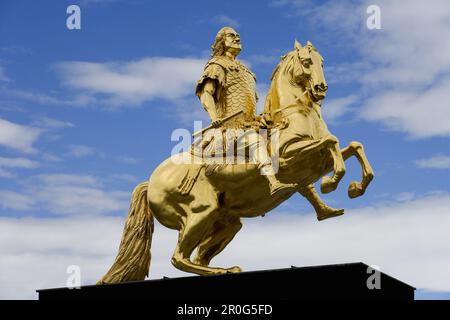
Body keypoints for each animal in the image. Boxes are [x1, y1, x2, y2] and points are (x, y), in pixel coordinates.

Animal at [99, 39, 376, 282]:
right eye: (307, 62)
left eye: (322, 62)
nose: (321, 88)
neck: (291, 116)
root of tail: (151, 182)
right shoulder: (290, 158)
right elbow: (332, 142)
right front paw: (332, 182)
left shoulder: (315, 163)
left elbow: (353, 146)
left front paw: (355, 188)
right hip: (200, 213)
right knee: (179, 257)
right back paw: (223, 270)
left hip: (227, 223)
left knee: (197, 257)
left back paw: (226, 269)